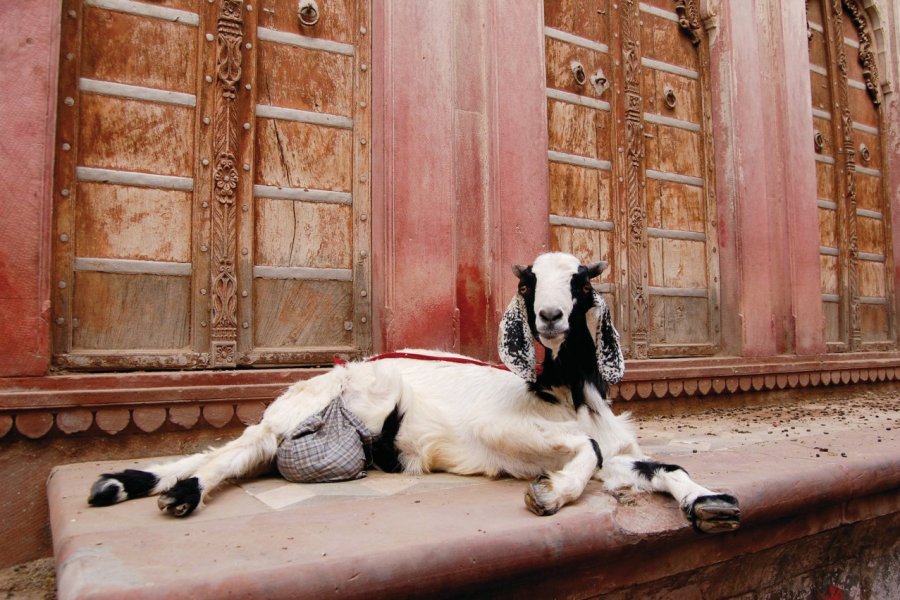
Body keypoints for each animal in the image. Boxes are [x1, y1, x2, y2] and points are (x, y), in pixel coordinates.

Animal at [88, 251, 740, 532]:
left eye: (580, 282)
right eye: (528, 283)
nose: (551, 316)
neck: (565, 395)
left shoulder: (622, 455)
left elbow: (663, 466)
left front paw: (709, 503)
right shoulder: (500, 430)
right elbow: (588, 450)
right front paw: (549, 494)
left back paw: (125, 483)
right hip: (315, 406)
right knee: (232, 452)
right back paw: (182, 493)